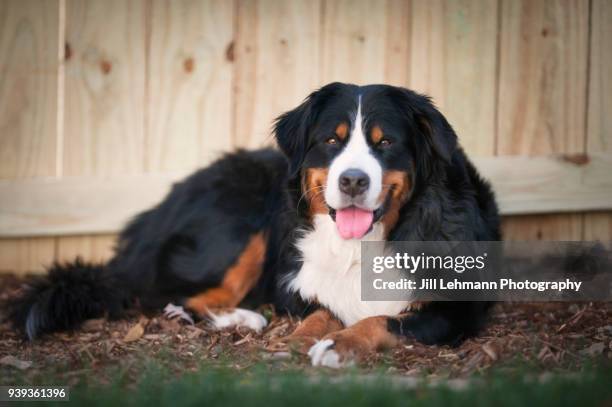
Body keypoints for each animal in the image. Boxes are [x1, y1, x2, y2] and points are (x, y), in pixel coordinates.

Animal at [8, 83, 498, 370]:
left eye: (386, 143)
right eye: (332, 140)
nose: (353, 180)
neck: (359, 248)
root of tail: (155, 210)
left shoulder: (455, 309)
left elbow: (380, 320)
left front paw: (338, 345)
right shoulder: (297, 284)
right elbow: (320, 312)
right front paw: (299, 339)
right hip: (242, 218)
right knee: (170, 295)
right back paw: (243, 317)